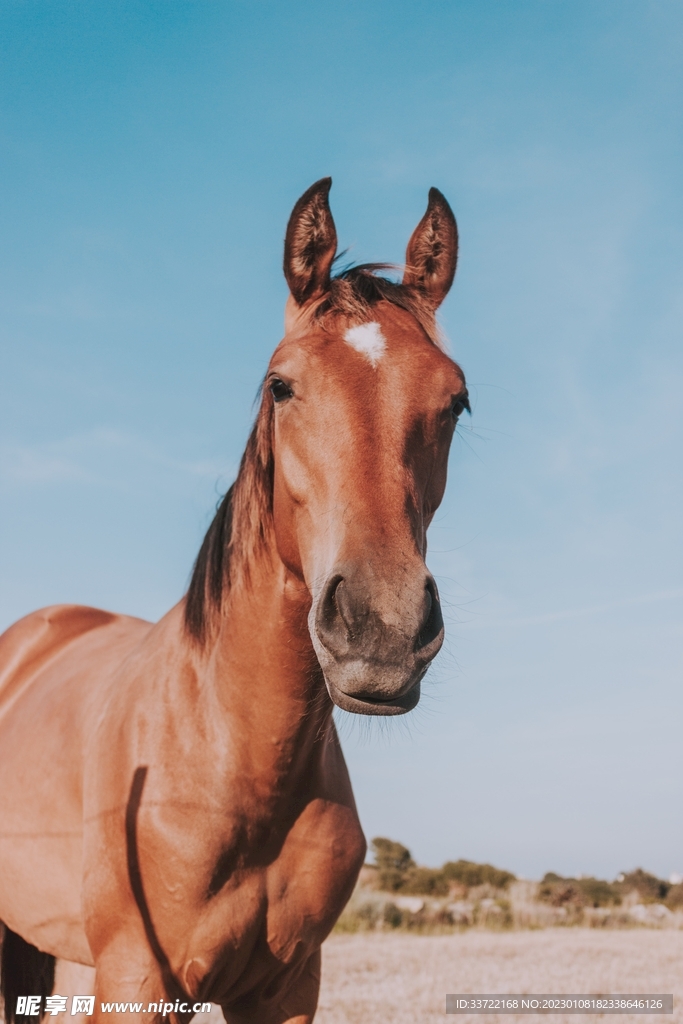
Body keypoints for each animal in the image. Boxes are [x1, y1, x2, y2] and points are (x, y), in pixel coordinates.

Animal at [0, 177, 468, 1024]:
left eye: (456, 402)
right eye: (282, 386)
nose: (380, 631)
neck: (230, 760)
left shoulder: (287, 986)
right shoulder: (138, 978)